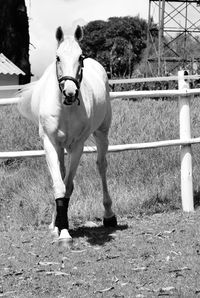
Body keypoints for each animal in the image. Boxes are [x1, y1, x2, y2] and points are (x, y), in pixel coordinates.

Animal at [18, 25, 117, 244]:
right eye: (57, 57)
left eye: (80, 57)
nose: (70, 93)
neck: (65, 109)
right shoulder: (50, 143)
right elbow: (59, 185)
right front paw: (60, 228)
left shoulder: (77, 145)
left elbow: (68, 185)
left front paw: (64, 229)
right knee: (62, 175)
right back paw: (54, 223)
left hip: (101, 133)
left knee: (102, 167)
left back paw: (109, 216)